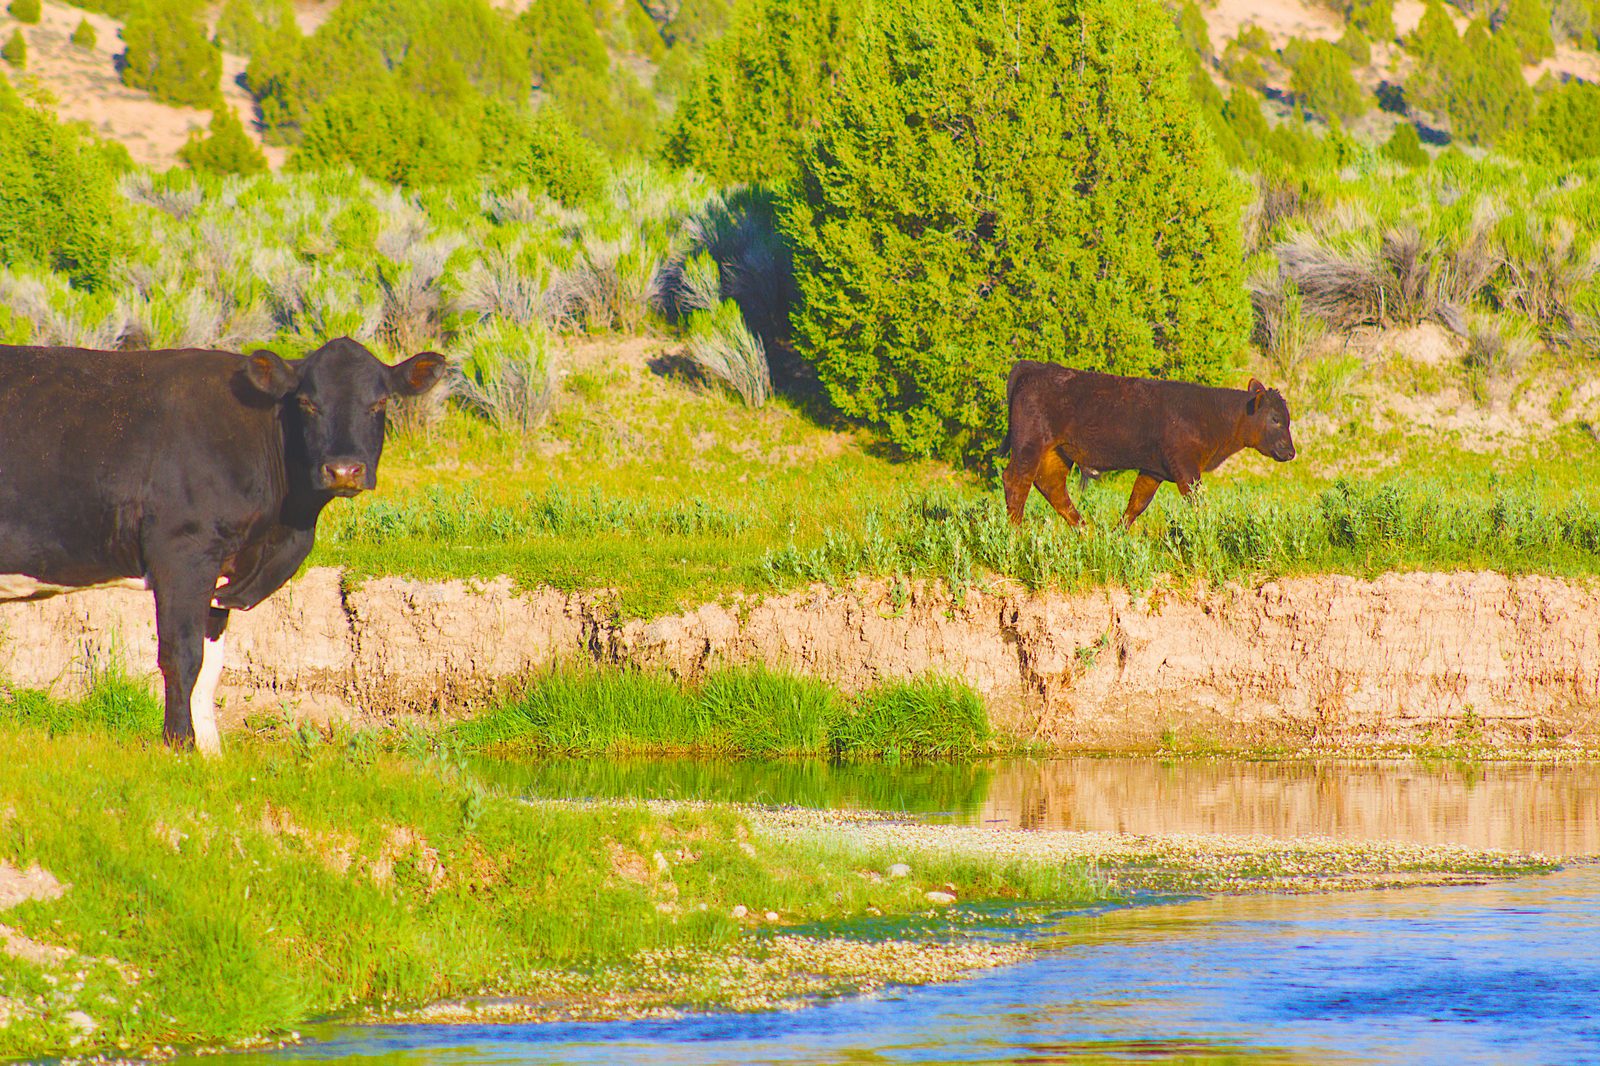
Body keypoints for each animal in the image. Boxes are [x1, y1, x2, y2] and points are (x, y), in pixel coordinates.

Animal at [0, 337, 445, 753]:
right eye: (306, 402)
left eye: (380, 402)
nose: (344, 469)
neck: (285, 529)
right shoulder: (183, 553)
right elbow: (182, 655)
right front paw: (179, 744)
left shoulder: (225, 572)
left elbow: (210, 665)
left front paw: (210, 752)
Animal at [1001, 360, 1296, 528]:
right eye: (1276, 419)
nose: (1290, 451)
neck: (1210, 414)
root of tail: (1031, 367)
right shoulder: (1186, 469)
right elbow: (1196, 502)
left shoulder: (1154, 471)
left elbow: (1136, 504)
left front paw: (1117, 535)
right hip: (1029, 445)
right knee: (1017, 480)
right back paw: (1016, 533)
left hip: (1057, 452)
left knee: (1051, 486)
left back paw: (1086, 531)